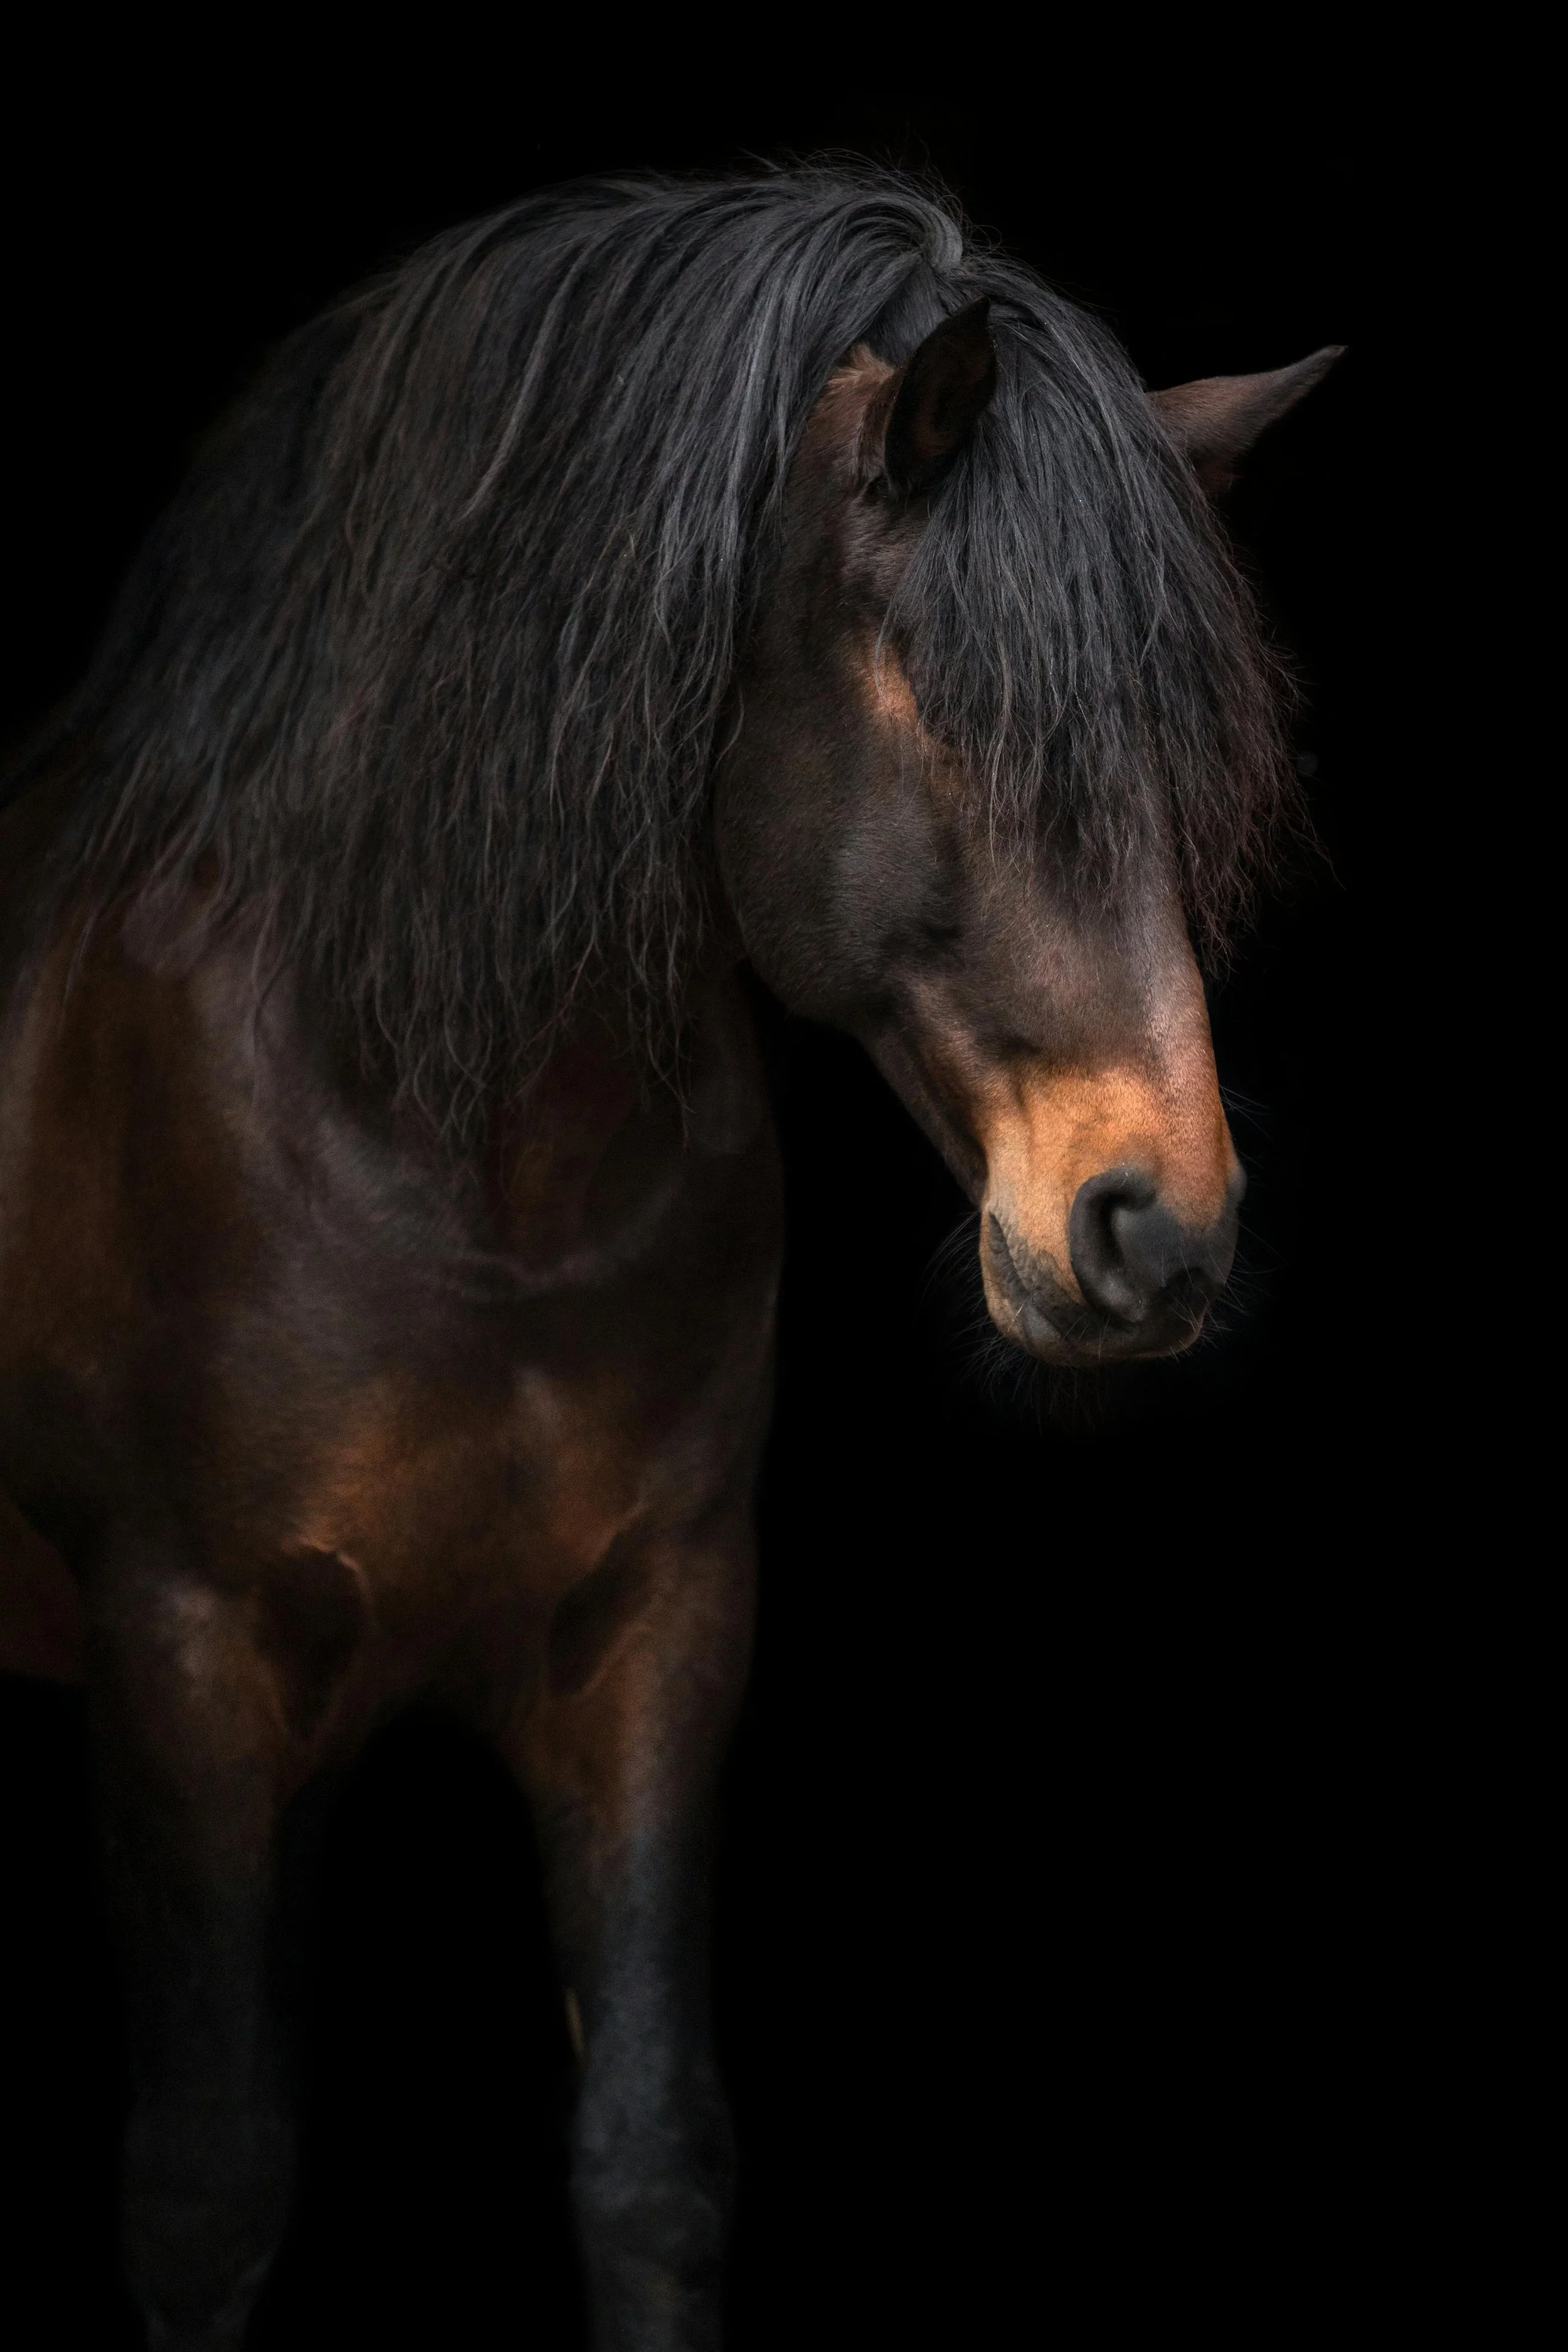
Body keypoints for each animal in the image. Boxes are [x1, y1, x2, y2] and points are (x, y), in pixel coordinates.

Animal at [0, 167, 1338, 2350]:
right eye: (941, 698)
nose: (1157, 1224)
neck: (459, 1169)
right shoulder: (175, 1647)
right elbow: (206, 2180)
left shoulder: (654, 1631)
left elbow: (646, 2155)